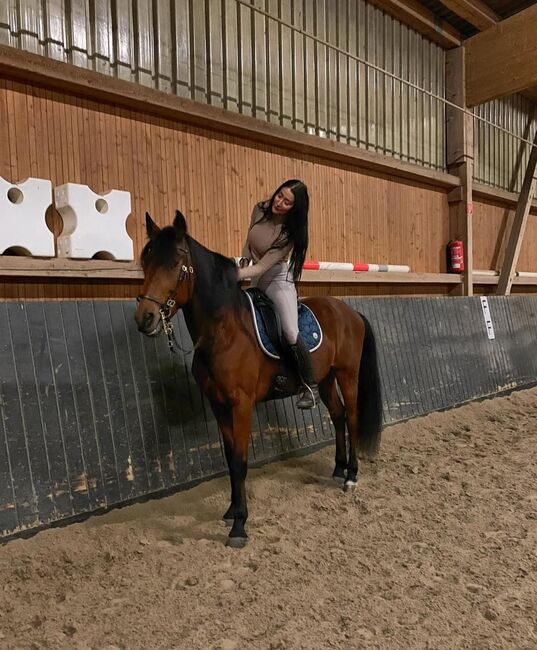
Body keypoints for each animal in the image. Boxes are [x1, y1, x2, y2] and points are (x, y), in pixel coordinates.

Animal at [135, 210, 382, 548]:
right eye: (145, 262)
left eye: (174, 265)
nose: (144, 318)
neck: (224, 330)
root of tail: (350, 312)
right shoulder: (218, 404)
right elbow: (229, 458)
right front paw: (230, 511)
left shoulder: (241, 404)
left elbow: (240, 460)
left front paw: (239, 526)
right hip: (325, 380)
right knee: (339, 416)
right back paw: (337, 468)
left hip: (347, 375)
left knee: (353, 417)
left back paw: (351, 476)